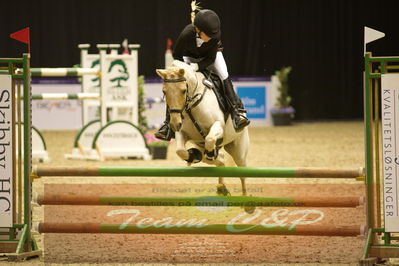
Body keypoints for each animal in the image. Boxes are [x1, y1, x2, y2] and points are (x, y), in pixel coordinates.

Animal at [156, 60, 250, 197]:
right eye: (164, 91)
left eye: (183, 90)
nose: (174, 124)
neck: (191, 105)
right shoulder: (181, 132)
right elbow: (180, 151)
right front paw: (193, 155)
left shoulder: (218, 125)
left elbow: (210, 140)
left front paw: (208, 153)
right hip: (202, 145)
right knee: (220, 160)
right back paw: (221, 187)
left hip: (239, 149)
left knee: (242, 173)